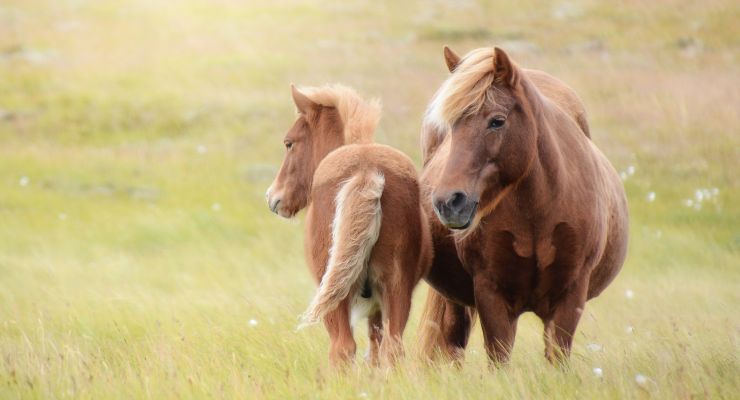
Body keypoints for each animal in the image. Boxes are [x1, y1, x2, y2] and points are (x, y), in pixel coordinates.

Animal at [266, 84, 430, 368]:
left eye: (289, 143)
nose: (274, 198)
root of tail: (366, 170)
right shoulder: (378, 305)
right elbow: (376, 349)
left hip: (335, 297)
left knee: (342, 348)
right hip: (396, 287)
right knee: (392, 348)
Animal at [420, 47, 628, 366]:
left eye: (497, 121)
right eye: (451, 126)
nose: (448, 202)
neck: (537, 212)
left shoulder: (570, 296)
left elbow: (557, 358)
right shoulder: (491, 295)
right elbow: (499, 358)